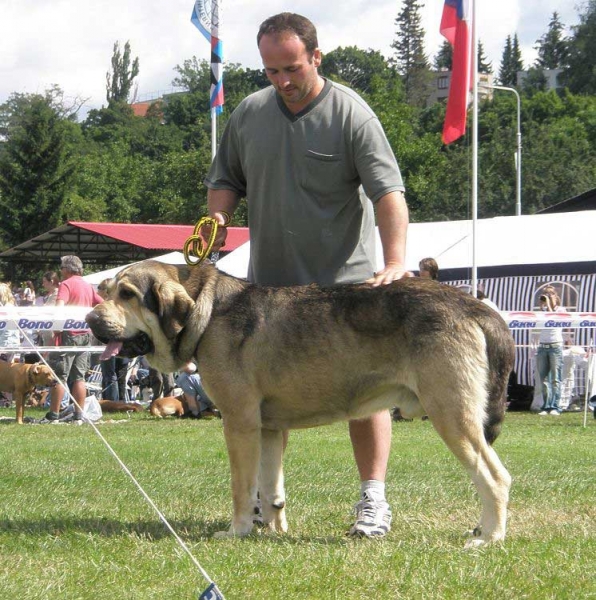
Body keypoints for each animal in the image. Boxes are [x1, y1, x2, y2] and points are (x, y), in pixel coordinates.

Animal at [87, 260, 516, 548]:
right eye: (105, 290)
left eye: (127, 295)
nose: (90, 320)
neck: (205, 313)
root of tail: (475, 306)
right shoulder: (267, 428)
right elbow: (270, 487)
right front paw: (274, 530)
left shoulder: (239, 422)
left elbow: (242, 486)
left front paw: (237, 530)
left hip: (452, 416)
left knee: (495, 477)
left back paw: (490, 537)